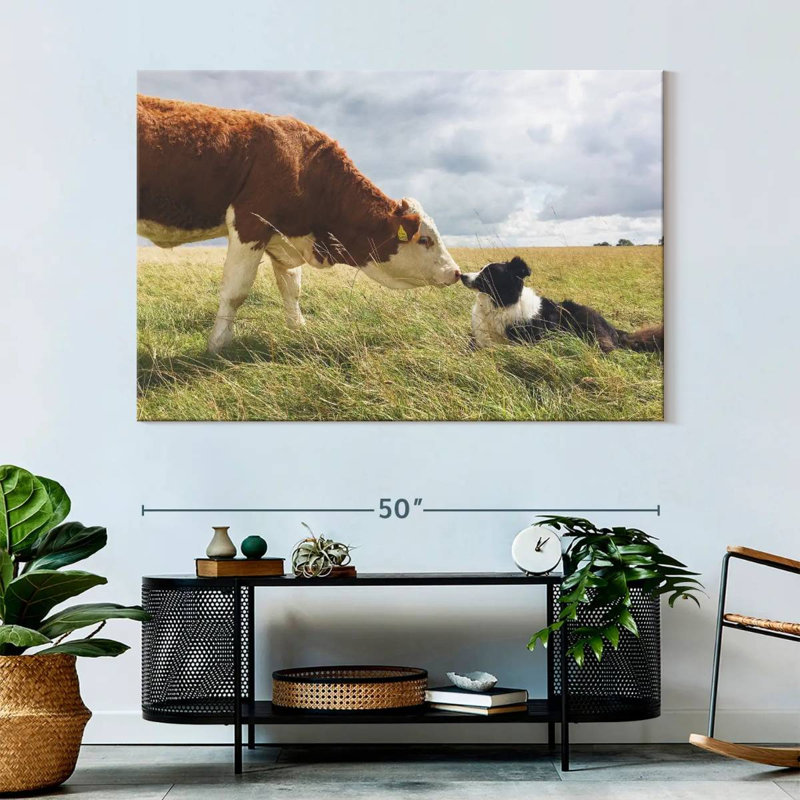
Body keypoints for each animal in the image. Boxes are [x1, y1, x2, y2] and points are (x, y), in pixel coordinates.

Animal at [137, 95, 462, 353]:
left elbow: (291, 287)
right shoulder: (250, 222)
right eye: (425, 240)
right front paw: (218, 344)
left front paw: (299, 328)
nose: (456, 272)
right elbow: (235, 291)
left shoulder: (284, 237)